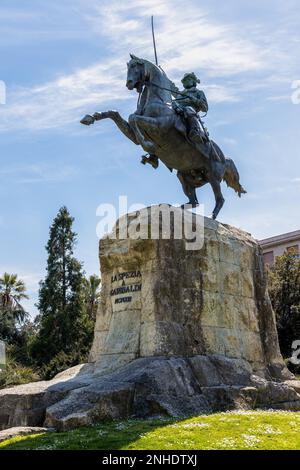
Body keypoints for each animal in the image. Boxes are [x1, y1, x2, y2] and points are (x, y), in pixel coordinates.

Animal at [81, 54, 246, 219]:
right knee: (195, 201)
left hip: (213, 176)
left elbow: (133, 118)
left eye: (135, 65)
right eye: (128, 66)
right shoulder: (134, 135)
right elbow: (116, 114)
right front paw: (90, 117)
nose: (129, 83)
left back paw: (212, 216)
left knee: (220, 198)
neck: (158, 101)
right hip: (186, 176)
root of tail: (225, 157)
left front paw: (149, 146)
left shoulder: (160, 126)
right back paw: (178, 208)